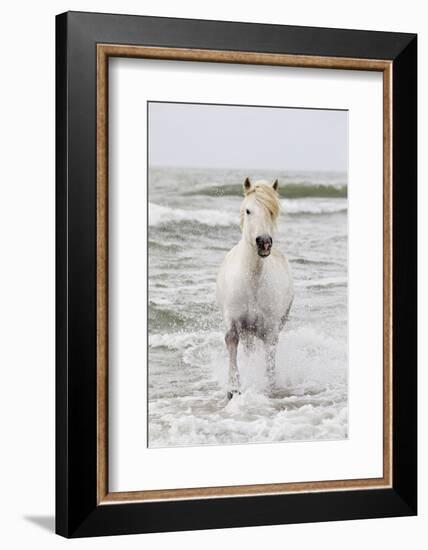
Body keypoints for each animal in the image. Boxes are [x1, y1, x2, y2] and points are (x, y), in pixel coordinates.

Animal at [217, 179, 294, 398]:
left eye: (271, 211)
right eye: (248, 210)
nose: (264, 242)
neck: (252, 281)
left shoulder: (271, 328)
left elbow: (269, 356)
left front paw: (270, 387)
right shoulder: (233, 320)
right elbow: (231, 341)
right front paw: (233, 389)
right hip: (248, 331)